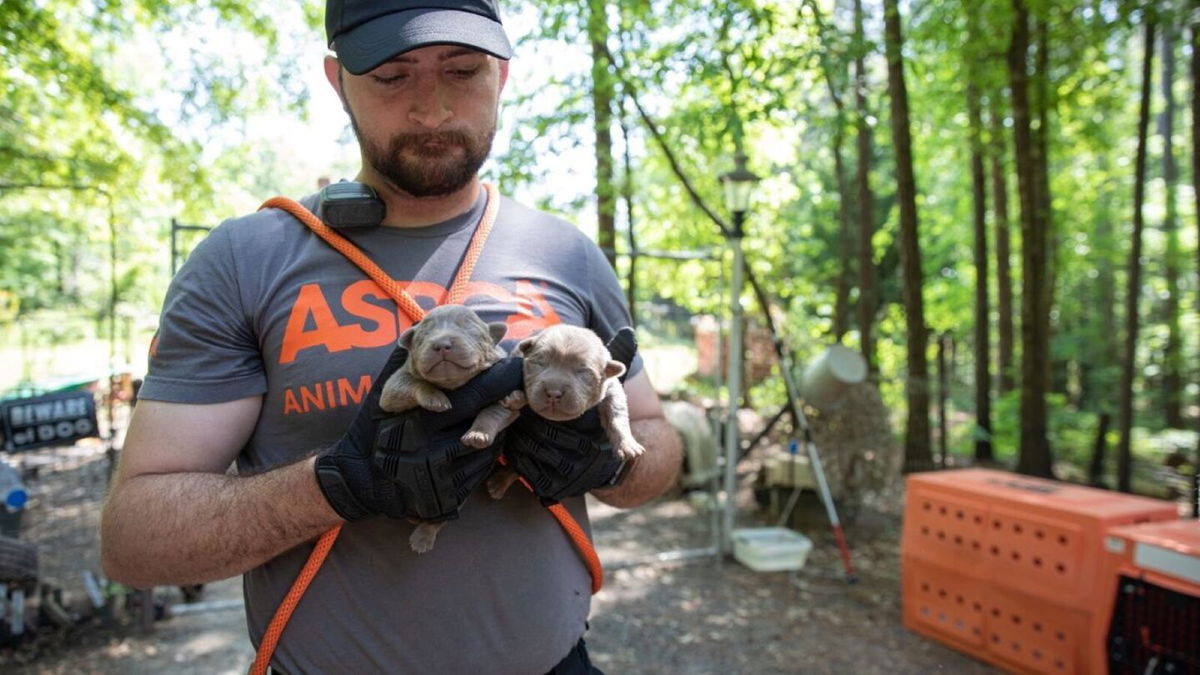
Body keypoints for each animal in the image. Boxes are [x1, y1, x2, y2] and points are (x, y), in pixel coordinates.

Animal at [374, 305, 506, 552]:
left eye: (468, 326)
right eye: (424, 333)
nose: (442, 344)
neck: (451, 385)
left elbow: (495, 410)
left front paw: (478, 434)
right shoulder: (393, 384)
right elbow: (410, 384)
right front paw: (435, 399)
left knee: (443, 517)